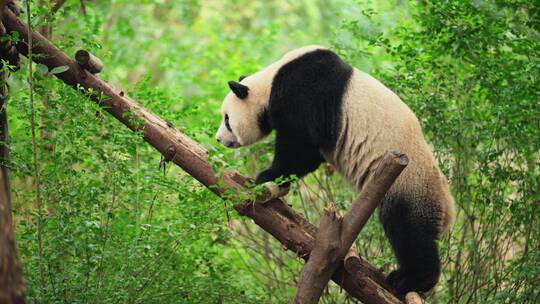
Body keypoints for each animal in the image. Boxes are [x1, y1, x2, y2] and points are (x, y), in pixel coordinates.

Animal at [215, 45, 456, 294]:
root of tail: (449, 208)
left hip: (410, 182)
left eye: (227, 119)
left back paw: (410, 279)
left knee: (408, 228)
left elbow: (301, 146)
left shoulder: (305, 93)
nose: (219, 139)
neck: (270, 81)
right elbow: (309, 155)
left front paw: (266, 176)